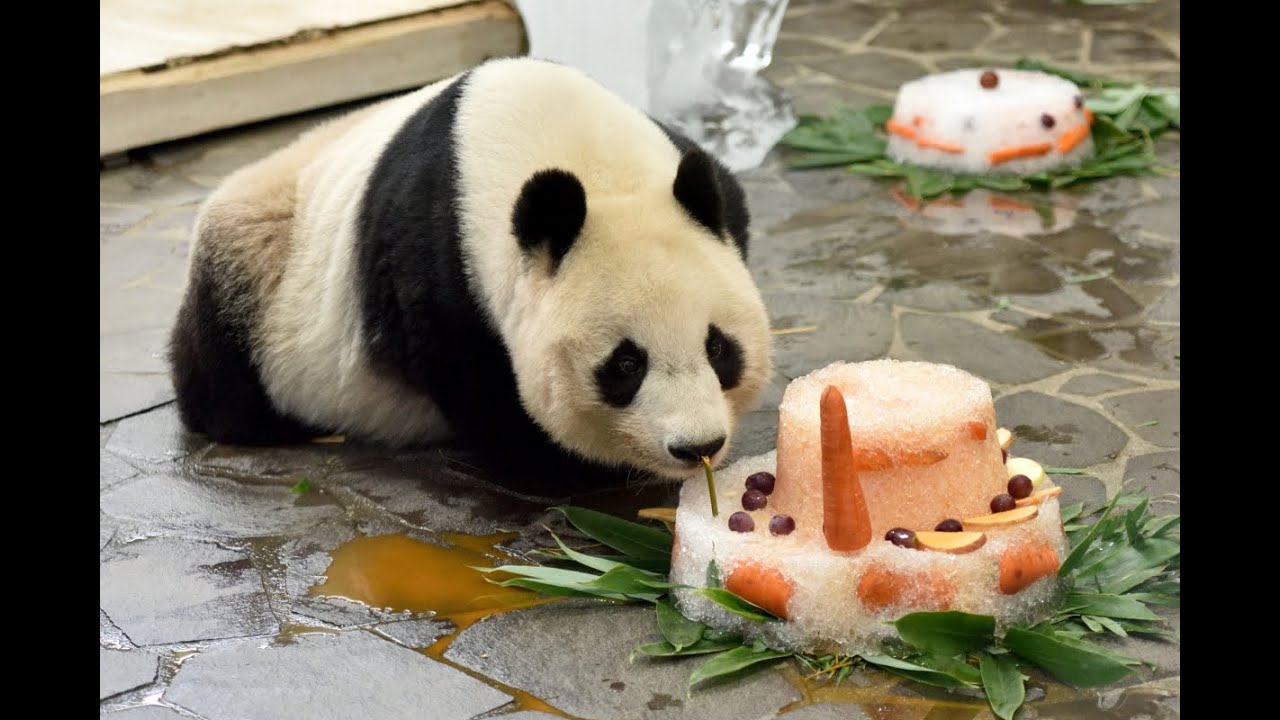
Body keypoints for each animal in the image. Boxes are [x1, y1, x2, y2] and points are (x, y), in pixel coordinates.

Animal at [169, 57, 774, 484]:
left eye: (718, 347)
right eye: (625, 364)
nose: (697, 446)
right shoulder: (437, 269)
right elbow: (479, 384)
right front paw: (567, 464)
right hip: (257, 275)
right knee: (223, 376)